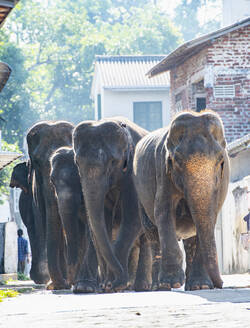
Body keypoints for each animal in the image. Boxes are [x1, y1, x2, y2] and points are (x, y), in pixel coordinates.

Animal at [72, 116, 150, 290]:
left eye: (113, 162)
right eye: (77, 163)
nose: (104, 285)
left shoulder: (133, 173)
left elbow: (133, 218)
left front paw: (117, 285)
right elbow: (102, 219)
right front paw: (106, 285)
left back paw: (142, 287)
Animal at [134, 111, 229, 290]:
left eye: (221, 160)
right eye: (176, 160)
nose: (220, 284)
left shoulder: (222, 181)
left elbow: (211, 216)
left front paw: (202, 286)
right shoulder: (163, 171)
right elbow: (163, 212)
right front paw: (173, 282)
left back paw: (194, 285)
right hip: (140, 194)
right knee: (153, 234)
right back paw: (160, 286)